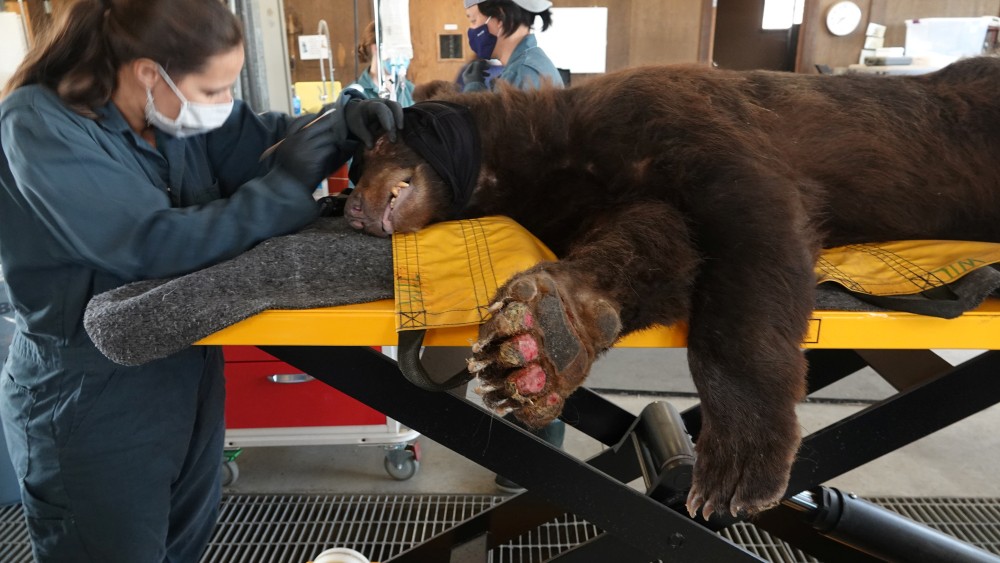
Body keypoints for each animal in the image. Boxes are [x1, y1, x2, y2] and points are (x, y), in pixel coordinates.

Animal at [342, 57, 1000, 520]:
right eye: (356, 164)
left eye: (374, 146)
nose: (348, 208)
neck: (541, 153)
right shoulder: (595, 194)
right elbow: (656, 244)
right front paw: (538, 343)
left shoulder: (684, 122)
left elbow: (751, 229)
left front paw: (739, 463)